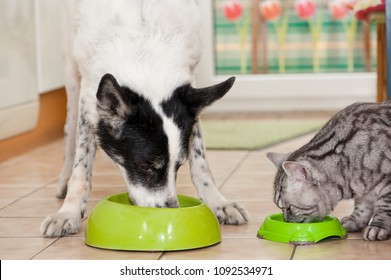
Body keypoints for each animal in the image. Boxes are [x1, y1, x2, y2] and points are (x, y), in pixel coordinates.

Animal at [39, 0, 248, 237]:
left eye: (179, 165)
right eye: (145, 166)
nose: (171, 211)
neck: (144, 42)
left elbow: (201, 162)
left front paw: (217, 202)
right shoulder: (88, 96)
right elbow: (81, 168)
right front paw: (68, 213)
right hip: (70, 68)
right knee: (69, 127)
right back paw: (63, 180)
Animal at [268, 102, 391, 241]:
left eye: (289, 208)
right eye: (281, 208)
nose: (287, 221)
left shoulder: (387, 183)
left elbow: (384, 206)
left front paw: (377, 226)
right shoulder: (364, 190)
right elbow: (362, 207)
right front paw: (354, 220)